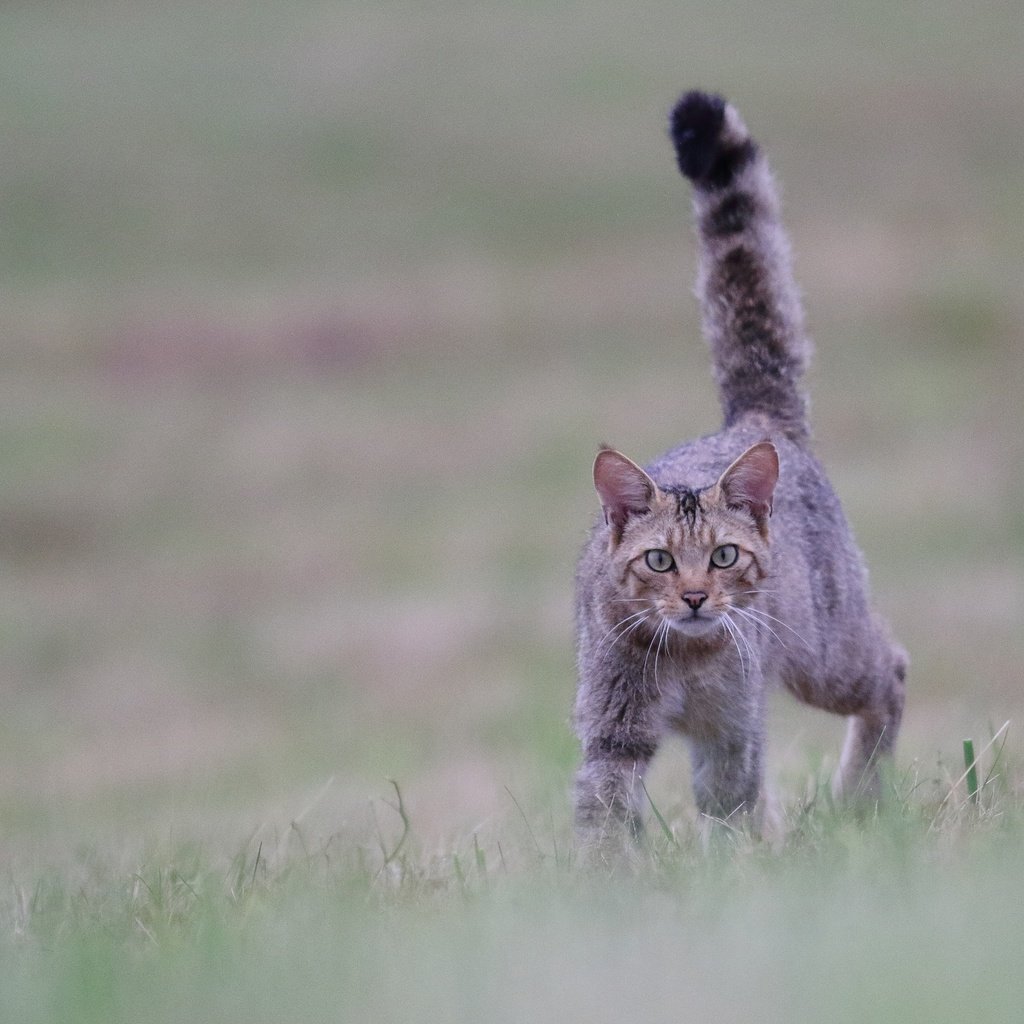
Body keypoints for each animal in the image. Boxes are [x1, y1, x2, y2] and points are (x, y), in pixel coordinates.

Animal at [573, 90, 909, 856]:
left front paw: (733, 867)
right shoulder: (613, 727)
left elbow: (730, 803)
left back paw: (858, 794)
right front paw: (604, 877)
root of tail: (756, 418)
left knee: (894, 667)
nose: (698, 597)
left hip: (826, 652)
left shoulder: (733, 727)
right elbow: (604, 813)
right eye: (660, 561)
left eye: (725, 556)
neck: (683, 659)